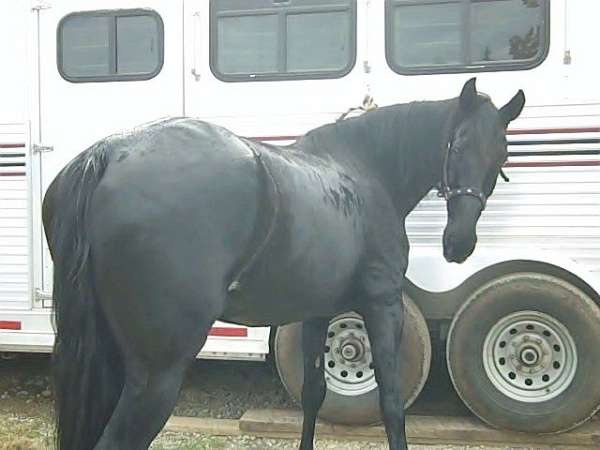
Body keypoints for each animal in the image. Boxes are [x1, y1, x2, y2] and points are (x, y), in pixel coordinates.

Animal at [41, 79, 524, 448]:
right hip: (156, 373)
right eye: (457, 145)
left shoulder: (316, 314)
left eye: (501, 155)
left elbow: (314, 395)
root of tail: (109, 153)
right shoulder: (382, 305)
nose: (459, 243)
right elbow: (390, 403)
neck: (364, 172)